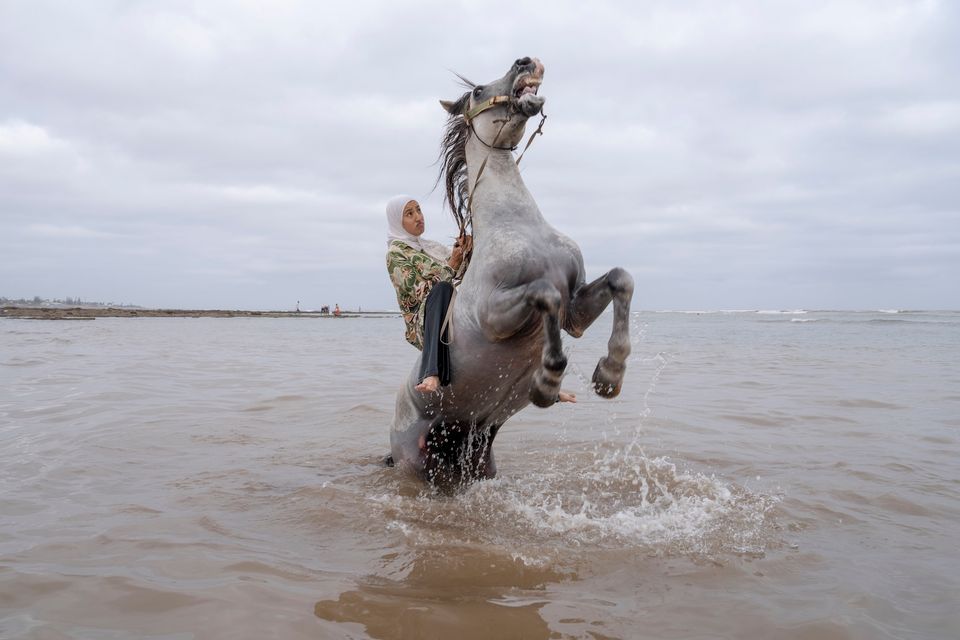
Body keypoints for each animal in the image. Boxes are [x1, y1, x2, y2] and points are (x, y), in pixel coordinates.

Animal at [389, 56, 634, 486]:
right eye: (476, 92)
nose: (525, 62)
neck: (517, 223)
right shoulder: (495, 315)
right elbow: (545, 294)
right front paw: (547, 381)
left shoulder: (575, 312)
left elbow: (621, 279)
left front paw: (610, 375)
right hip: (413, 464)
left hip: (476, 454)